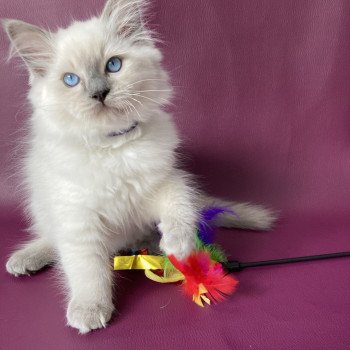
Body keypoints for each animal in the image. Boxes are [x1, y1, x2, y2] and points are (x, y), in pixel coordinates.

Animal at [2, 0, 276, 334]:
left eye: (113, 65)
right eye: (71, 80)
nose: (99, 93)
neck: (114, 147)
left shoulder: (161, 184)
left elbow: (179, 208)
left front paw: (178, 246)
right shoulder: (77, 216)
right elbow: (86, 269)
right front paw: (90, 309)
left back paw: (156, 246)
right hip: (45, 207)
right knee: (53, 241)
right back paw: (25, 258)